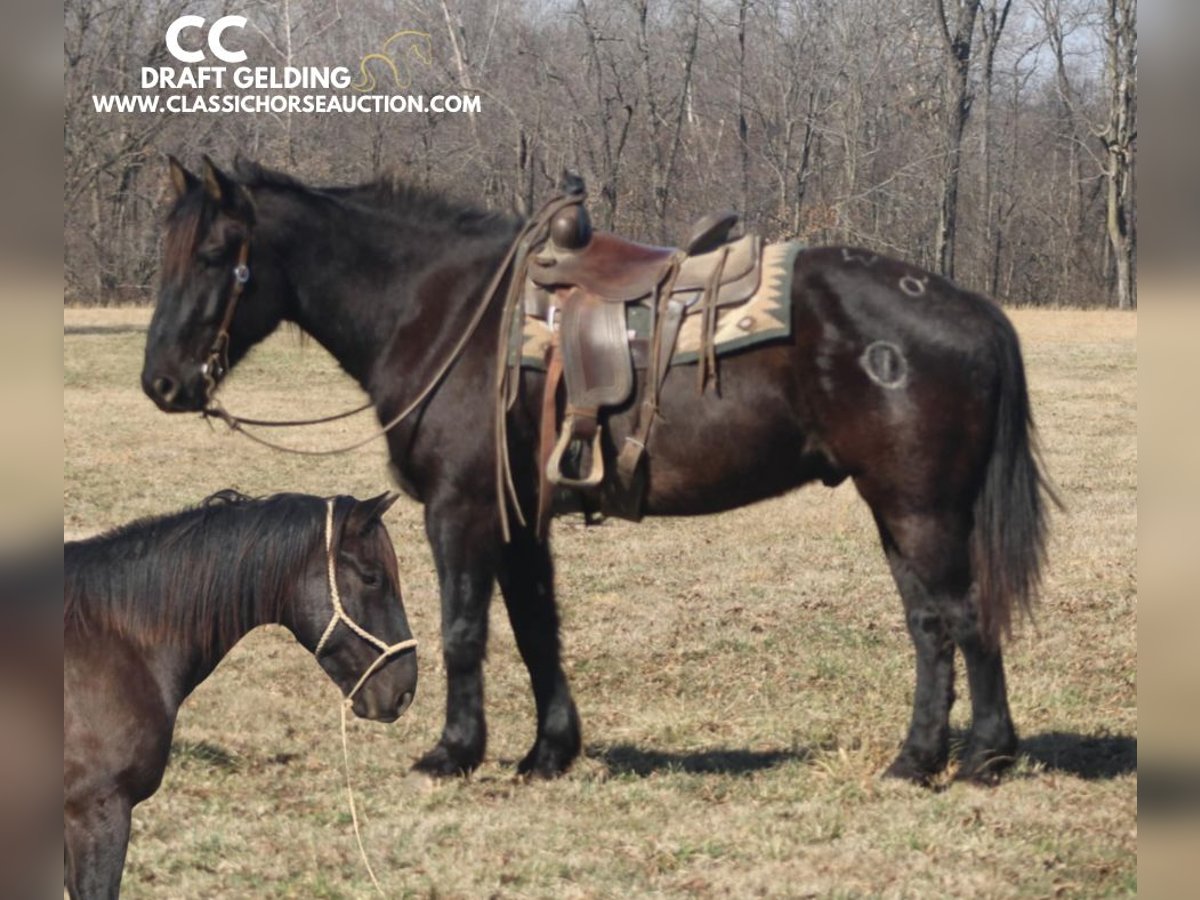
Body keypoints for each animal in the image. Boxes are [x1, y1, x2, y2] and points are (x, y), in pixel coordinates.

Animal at [142, 160, 1060, 787]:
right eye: (165, 253)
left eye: (218, 252)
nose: (162, 383)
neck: (443, 312)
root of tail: (972, 309)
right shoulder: (519, 519)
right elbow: (536, 629)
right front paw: (548, 751)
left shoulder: (461, 511)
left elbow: (465, 630)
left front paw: (453, 751)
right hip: (897, 511)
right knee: (930, 625)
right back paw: (916, 759)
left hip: (920, 510)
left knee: (963, 616)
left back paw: (982, 755)